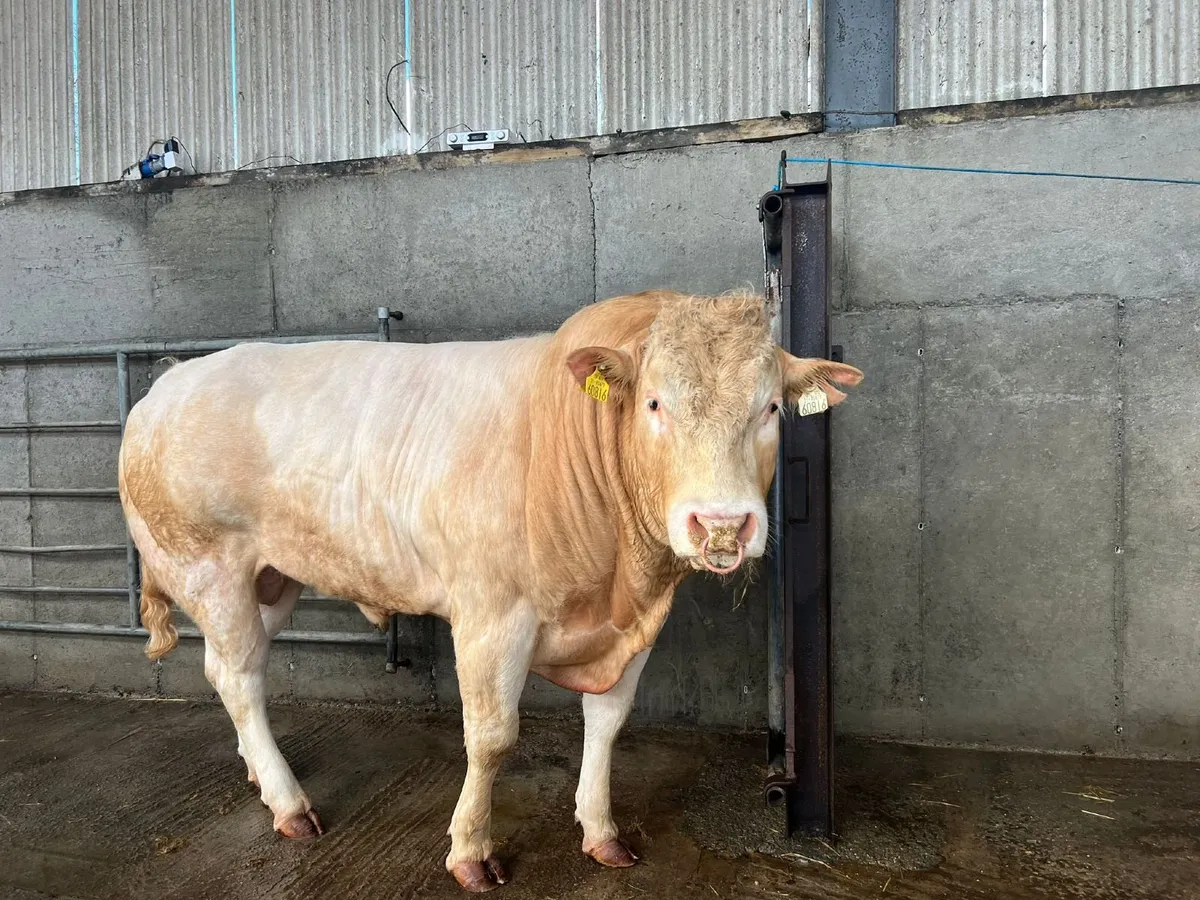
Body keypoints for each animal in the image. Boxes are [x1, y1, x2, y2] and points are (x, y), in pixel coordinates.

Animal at [118, 289, 862, 892]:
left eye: (770, 408)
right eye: (655, 403)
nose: (722, 524)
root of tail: (168, 384)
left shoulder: (634, 626)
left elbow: (608, 722)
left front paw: (601, 831)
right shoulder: (490, 613)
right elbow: (492, 737)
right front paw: (471, 850)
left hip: (271, 579)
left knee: (227, 667)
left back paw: (258, 773)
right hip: (208, 565)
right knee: (240, 677)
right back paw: (290, 805)